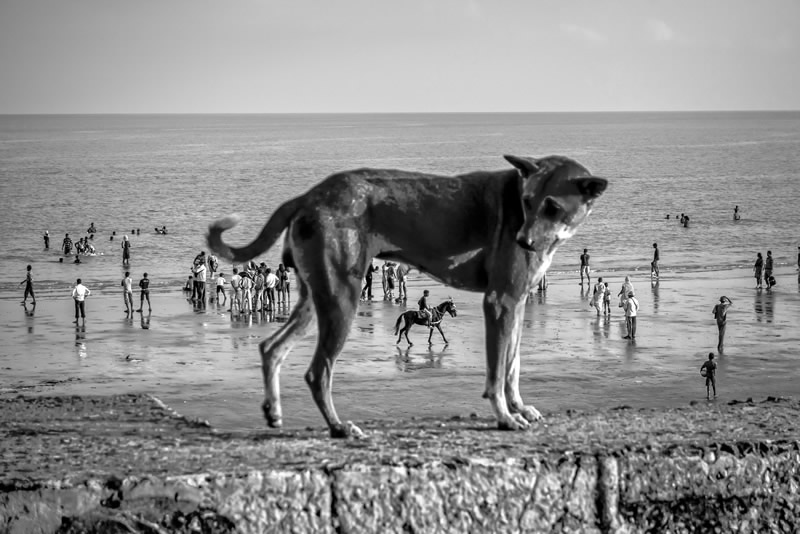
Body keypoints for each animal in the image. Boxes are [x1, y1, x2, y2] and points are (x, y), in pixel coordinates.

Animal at [206, 155, 608, 440]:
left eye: (552, 206)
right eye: (527, 201)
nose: (524, 241)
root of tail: (311, 194)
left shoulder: (519, 302)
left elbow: (513, 365)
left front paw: (520, 407)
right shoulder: (499, 302)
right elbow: (496, 372)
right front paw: (505, 417)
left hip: (313, 298)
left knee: (272, 348)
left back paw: (275, 410)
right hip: (341, 301)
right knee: (317, 372)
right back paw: (338, 427)